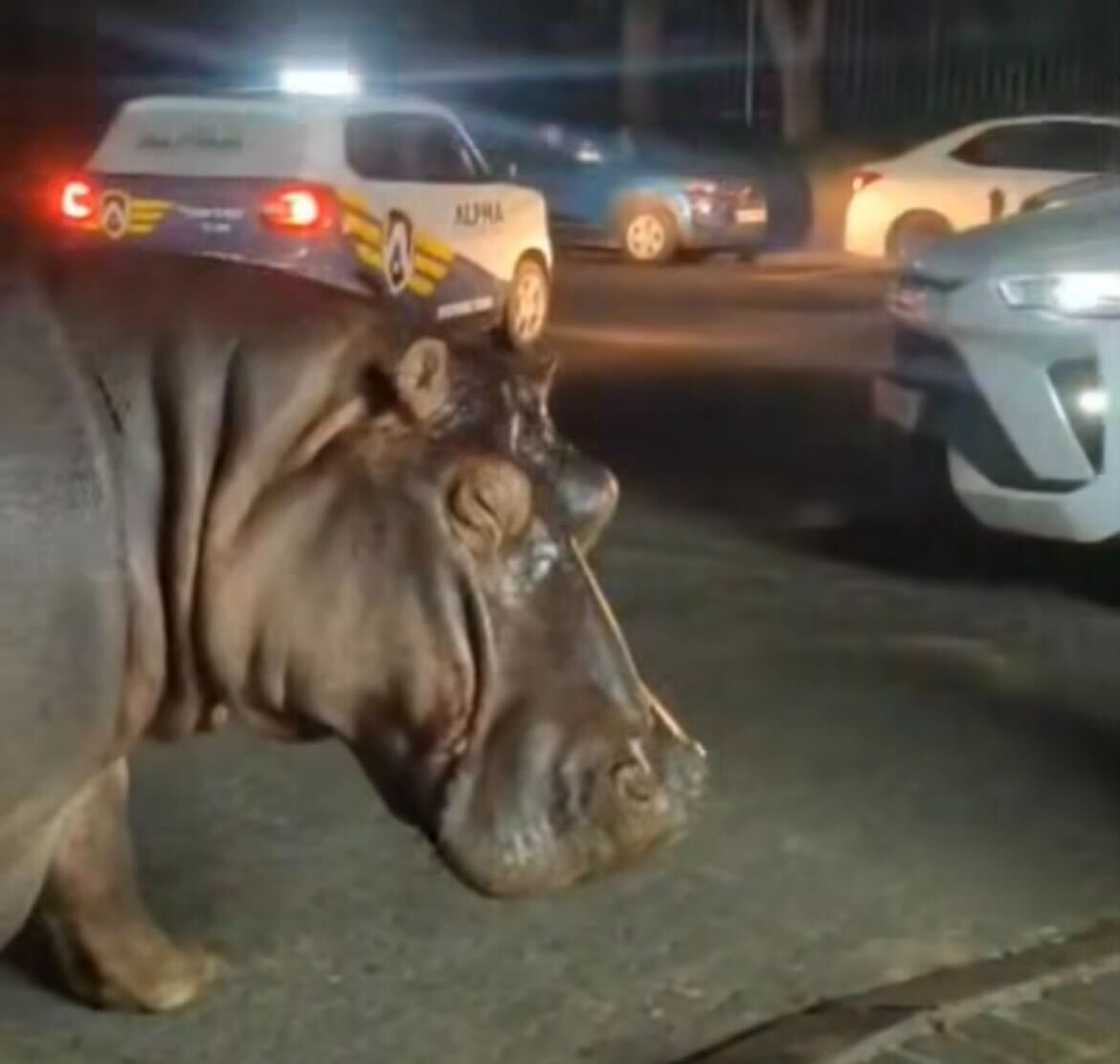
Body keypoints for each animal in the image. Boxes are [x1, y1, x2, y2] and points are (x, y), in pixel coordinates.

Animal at [0, 251, 705, 1012]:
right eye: (483, 503)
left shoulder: (81, 748)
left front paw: (186, 977)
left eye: (601, 489)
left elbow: (97, 847)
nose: (674, 779)